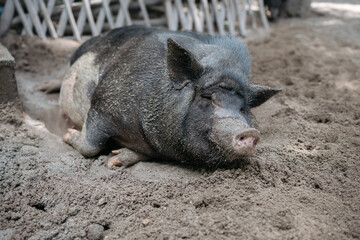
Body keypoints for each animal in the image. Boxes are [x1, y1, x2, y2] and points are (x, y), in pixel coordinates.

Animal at [61, 24, 282, 167]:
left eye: (243, 108)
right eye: (206, 97)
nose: (250, 132)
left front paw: (115, 159)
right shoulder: (101, 105)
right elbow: (90, 146)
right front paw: (68, 135)